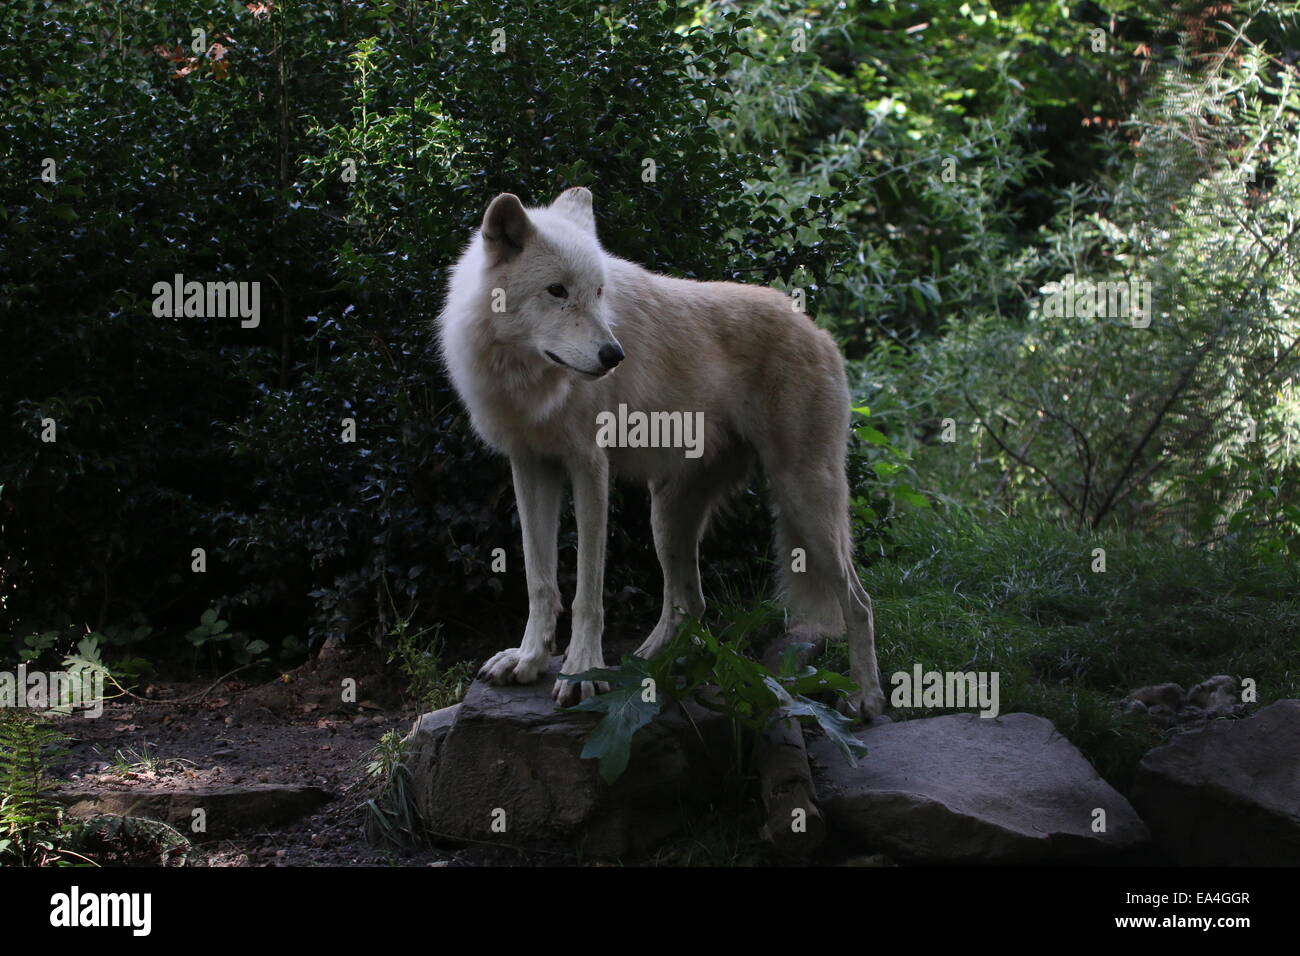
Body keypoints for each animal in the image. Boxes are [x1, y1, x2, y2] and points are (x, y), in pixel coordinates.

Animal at [436, 188, 883, 717]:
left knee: (859, 602)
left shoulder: (590, 469)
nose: (614, 356)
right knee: (691, 605)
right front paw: (528, 660)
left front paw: (582, 672)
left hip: (803, 498)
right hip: (666, 516)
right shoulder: (530, 467)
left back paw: (867, 698)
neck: (528, 379)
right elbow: (539, 579)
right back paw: (645, 666)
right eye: (557, 291)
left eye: (600, 293)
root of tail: (817, 328)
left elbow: (587, 591)